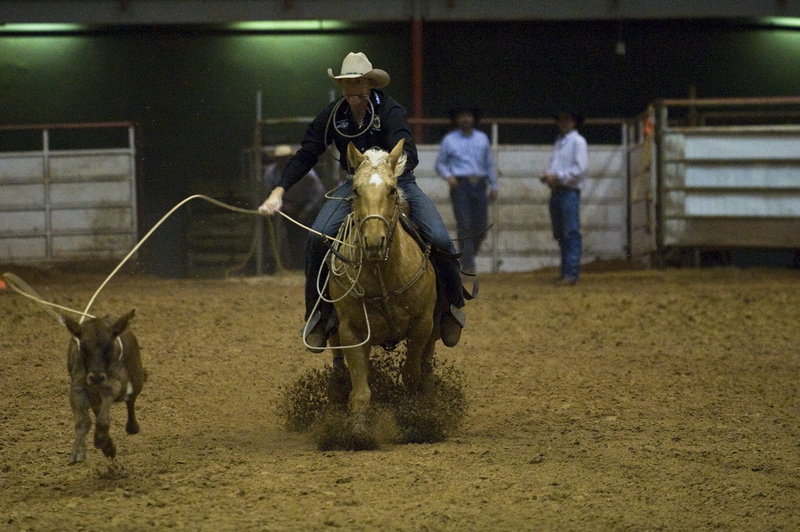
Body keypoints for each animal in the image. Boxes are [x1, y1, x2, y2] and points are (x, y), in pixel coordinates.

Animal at [62, 309, 146, 464]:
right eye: (84, 348)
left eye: (108, 347)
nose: (96, 377)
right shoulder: (77, 388)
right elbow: (82, 421)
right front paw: (78, 451)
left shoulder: (116, 382)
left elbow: (108, 397)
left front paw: (100, 438)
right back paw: (109, 447)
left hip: (137, 379)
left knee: (130, 401)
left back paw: (132, 427)